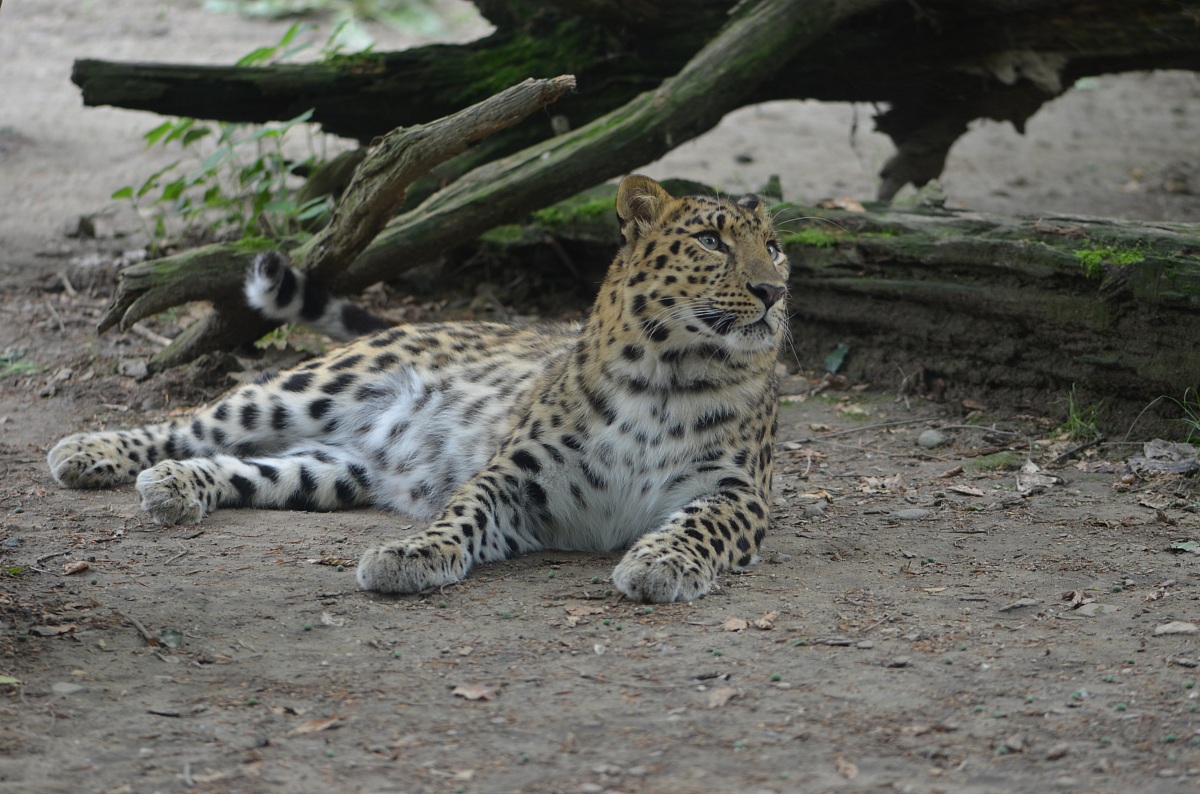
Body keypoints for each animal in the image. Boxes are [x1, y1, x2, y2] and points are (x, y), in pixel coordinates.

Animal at [47, 175, 789, 603]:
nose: (774, 291)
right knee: (191, 424)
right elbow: (463, 511)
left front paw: (661, 561)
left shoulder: (737, 493)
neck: (667, 373)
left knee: (252, 468)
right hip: (308, 387)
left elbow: (699, 525)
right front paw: (411, 553)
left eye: (775, 245)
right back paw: (91, 453)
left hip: (334, 470)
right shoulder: (518, 473)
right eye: (711, 241)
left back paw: (176, 486)